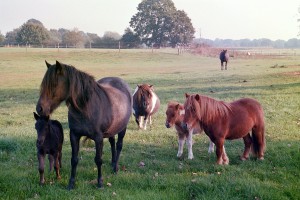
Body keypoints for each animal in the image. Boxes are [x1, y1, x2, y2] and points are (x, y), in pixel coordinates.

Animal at [36, 61, 132, 189]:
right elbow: (74, 159)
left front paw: (100, 182)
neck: (86, 107)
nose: (39, 108)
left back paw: (115, 167)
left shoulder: (98, 137)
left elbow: (98, 160)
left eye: (54, 84)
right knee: (112, 143)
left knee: (119, 145)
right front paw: (71, 183)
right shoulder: (74, 135)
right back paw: (112, 163)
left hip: (122, 128)